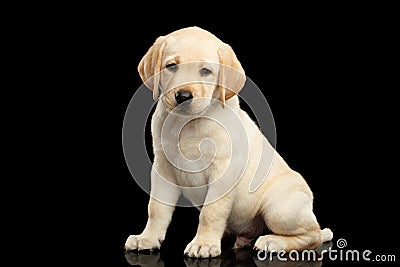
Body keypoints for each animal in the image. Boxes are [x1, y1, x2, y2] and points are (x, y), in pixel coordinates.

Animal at [124, 26, 332, 258]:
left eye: (206, 71)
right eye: (171, 66)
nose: (183, 96)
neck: (188, 125)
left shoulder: (224, 171)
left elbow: (211, 212)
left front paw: (204, 243)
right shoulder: (163, 169)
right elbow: (156, 208)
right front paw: (147, 238)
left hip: (279, 208)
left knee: (313, 235)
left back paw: (273, 241)